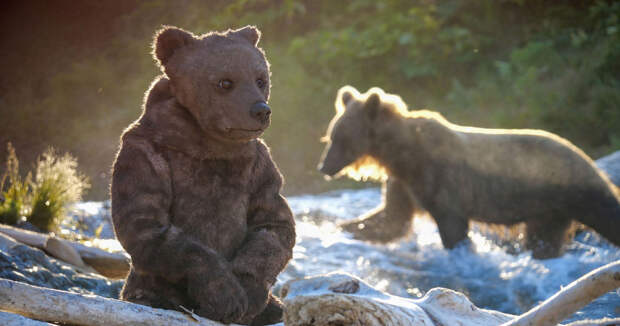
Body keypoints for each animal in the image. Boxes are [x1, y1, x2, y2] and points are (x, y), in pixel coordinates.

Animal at [111, 24, 296, 324]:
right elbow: (147, 223)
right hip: (150, 283)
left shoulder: (259, 164)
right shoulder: (144, 154)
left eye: (260, 80)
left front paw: (248, 292)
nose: (261, 110)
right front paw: (225, 294)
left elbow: (273, 225)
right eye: (225, 82)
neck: (208, 143)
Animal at [320, 85, 620, 258]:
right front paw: (336, 226)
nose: (323, 166)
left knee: (607, 214)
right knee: (542, 240)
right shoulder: (403, 182)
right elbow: (390, 220)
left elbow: (451, 225)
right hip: (549, 211)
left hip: (575, 189)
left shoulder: (439, 179)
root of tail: (586, 157)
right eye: (331, 136)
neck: (399, 153)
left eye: (340, 138)